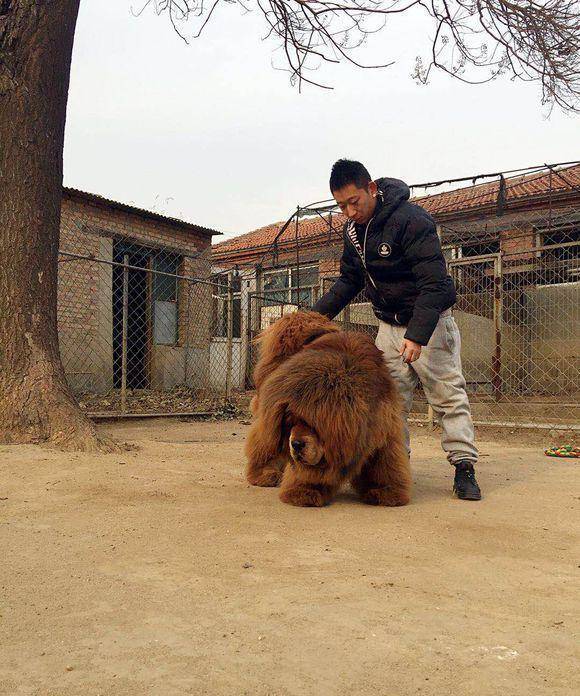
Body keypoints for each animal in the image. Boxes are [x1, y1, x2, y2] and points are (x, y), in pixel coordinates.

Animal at [245, 312, 412, 508]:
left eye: (312, 424)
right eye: (290, 423)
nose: (296, 444)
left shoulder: (383, 429)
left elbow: (383, 464)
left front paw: (384, 492)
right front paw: (305, 491)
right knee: (264, 444)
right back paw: (265, 474)